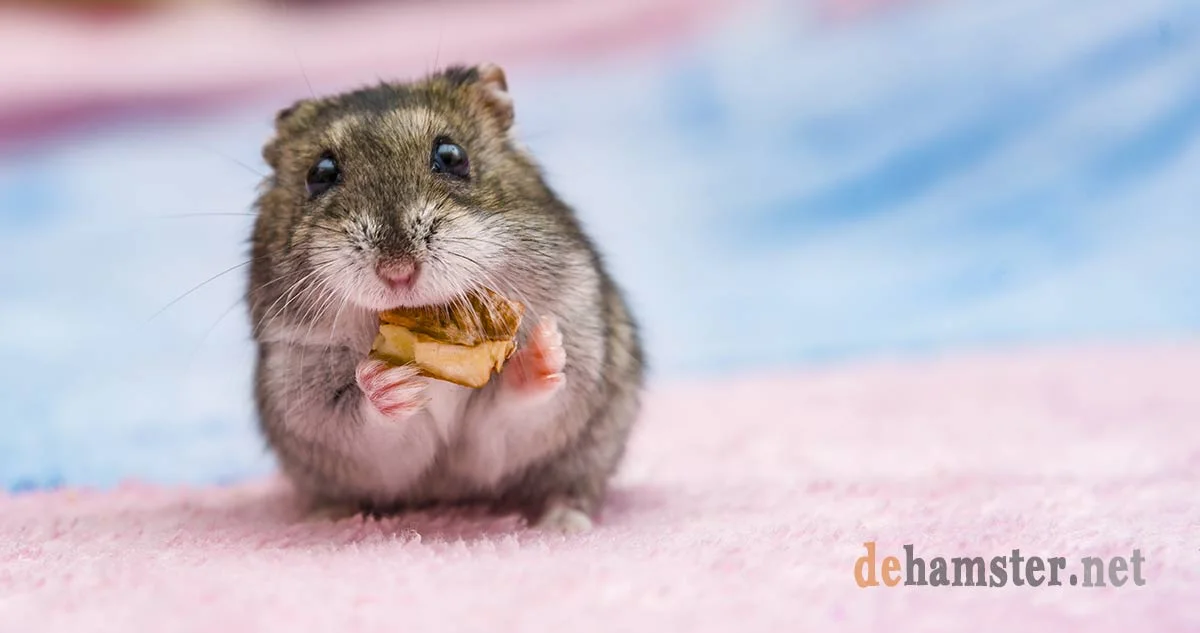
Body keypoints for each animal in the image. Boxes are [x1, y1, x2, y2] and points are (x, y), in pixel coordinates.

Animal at [246, 64, 645, 533]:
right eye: (320, 172)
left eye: (452, 156)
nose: (397, 272)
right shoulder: (311, 399)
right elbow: (371, 430)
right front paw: (386, 381)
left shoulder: (527, 418)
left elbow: (512, 411)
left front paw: (544, 348)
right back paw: (328, 519)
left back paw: (564, 523)